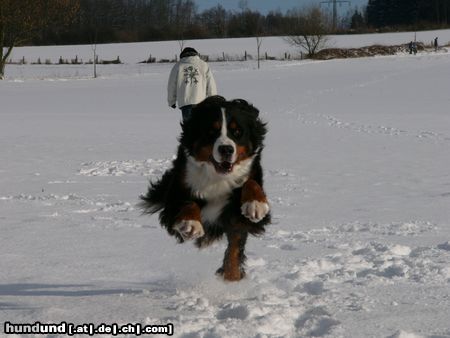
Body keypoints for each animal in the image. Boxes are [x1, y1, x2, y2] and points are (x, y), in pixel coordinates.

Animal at [139, 95, 270, 280]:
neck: (216, 177)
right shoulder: (174, 197)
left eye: (237, 132)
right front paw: (191, 223)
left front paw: (256, 204)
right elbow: (188, 201)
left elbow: (250, 185)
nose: (226, 149)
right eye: (211, 132)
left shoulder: (238, 211)